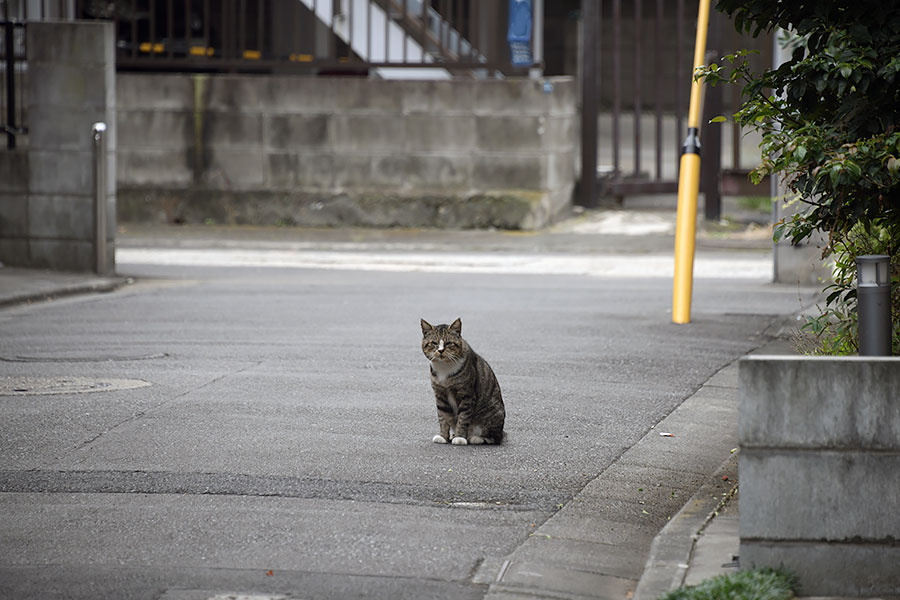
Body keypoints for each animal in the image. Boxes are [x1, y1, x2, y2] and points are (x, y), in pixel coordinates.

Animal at [418, 318, 502, 446]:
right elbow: (443, 417)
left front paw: (460, 437)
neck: (444, 367)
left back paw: (475, 438)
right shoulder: (440, 395)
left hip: (491, 412)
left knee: (495, 438)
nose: (441, 350)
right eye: (434, 343)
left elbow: (463, 418)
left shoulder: (467, 395)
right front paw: (443, 436)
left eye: (448, 343)